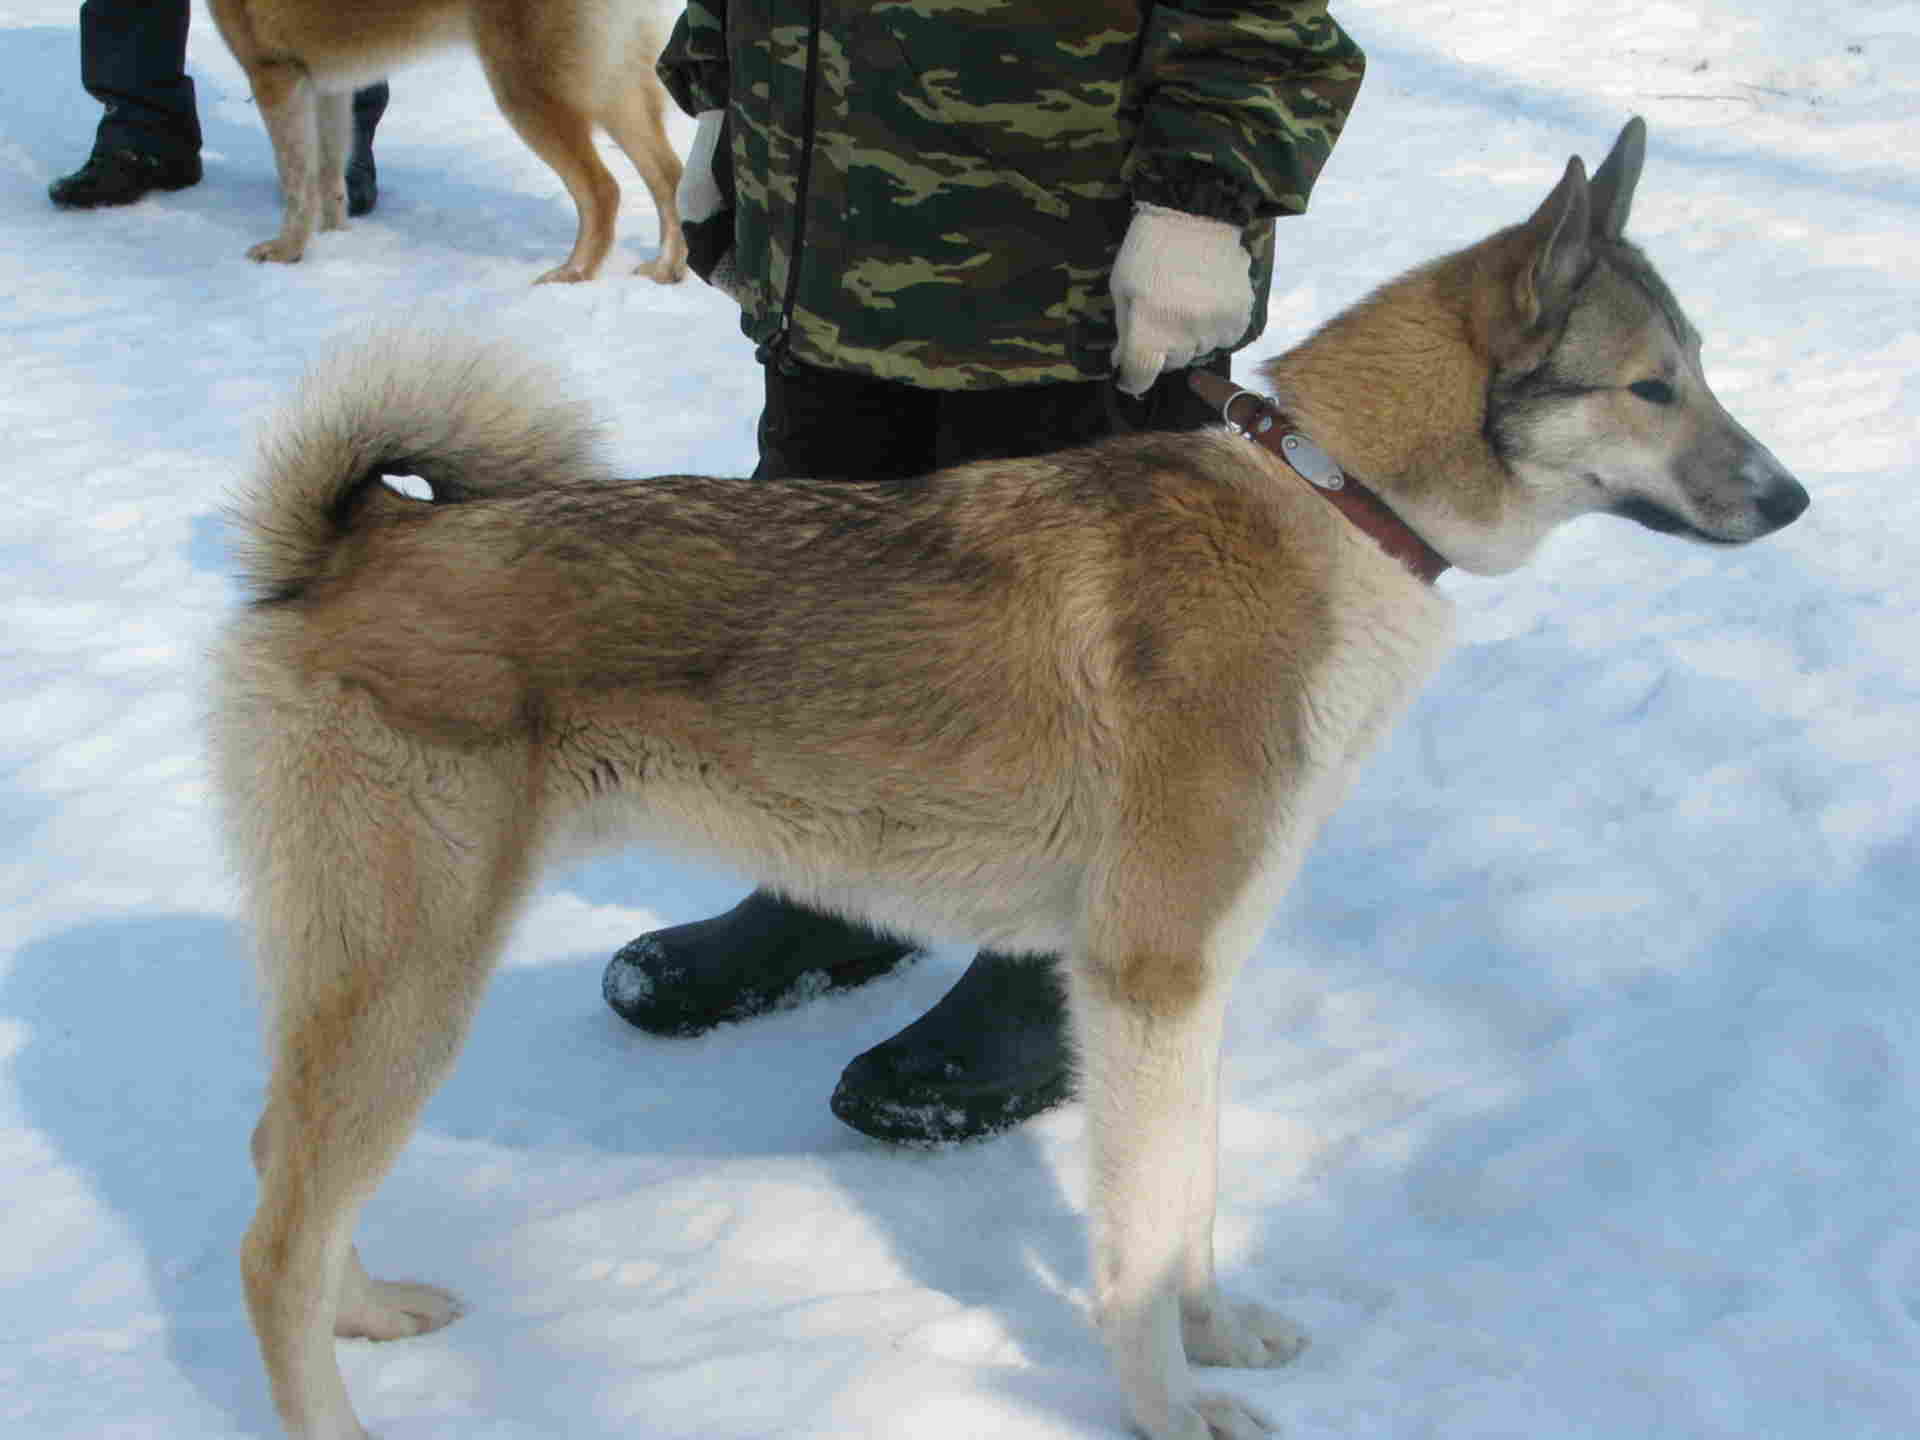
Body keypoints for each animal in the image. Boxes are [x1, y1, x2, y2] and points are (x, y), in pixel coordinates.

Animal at [207, 0, 687, 282]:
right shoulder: (328, 85)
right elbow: (329, 178)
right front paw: (333, 238)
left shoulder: (274, 75)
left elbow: (297, 181)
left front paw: (287, 251)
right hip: (607, 82)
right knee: (667, 174)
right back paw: (668, 267)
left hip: (528, 87)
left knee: (602, 190)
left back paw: (572, 273)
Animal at [217, 118, 1804, 1436]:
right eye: (1653, 387)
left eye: (1703, 373)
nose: (1792, 499)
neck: (1338, 507)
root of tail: (357, 540)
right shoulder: (1146, 982)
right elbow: (1138, 1248)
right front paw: (1171, 1411)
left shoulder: (1193, 981)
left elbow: (1196, 1207)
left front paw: (1217, 1334)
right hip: (414, 978)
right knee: (273, 1233)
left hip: (370, 987)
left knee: (284, 1169)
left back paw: (372, 1313)